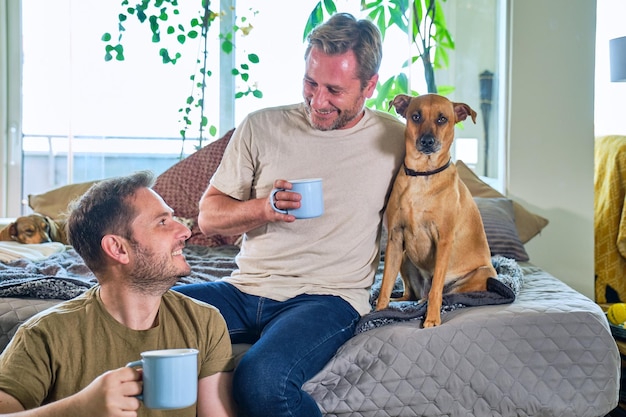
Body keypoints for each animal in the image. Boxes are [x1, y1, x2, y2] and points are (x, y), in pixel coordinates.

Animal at [372, 92, 494, 326]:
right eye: (416, 116)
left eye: (442, 119)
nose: (427, 141)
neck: (423, 175)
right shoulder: (395, 238)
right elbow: (385, 286)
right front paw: (378, 312)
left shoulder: (444, 240)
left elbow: (437, 289)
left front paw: (432, 319)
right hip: (404, 258)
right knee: (410, 294)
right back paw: (400, 301)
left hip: (481, 274)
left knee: (441, 293)